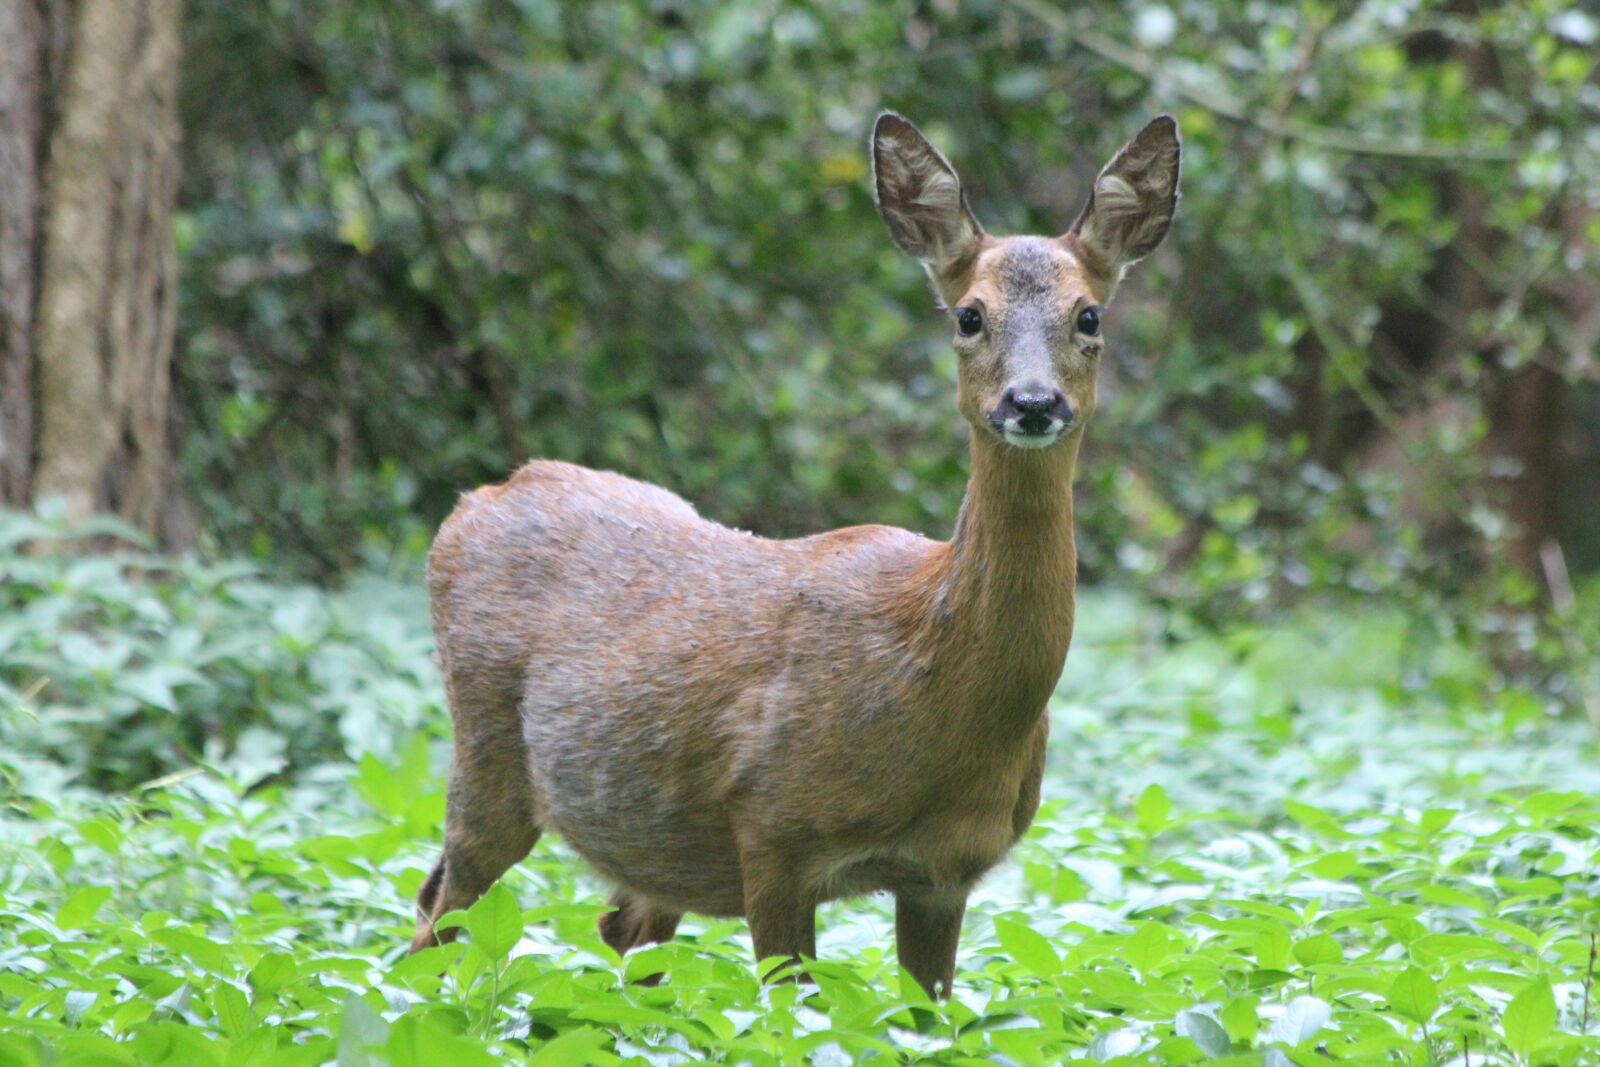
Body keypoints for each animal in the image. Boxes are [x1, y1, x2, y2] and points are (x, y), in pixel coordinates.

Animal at [407, 111, 1180, 999]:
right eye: (968, 315)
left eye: (1089, 316)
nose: (1032, 402)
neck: (933, 678)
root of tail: (474, 502)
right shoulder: (772, 829)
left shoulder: (945, 873)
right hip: (484, 751)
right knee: (436, 914)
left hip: (650, 843)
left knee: (615, 927)